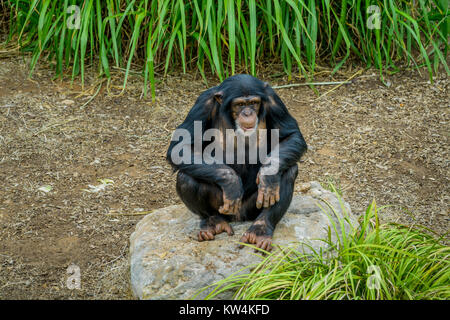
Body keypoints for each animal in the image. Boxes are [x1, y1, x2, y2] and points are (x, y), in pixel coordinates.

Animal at [167, 74, 308, 250]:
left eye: (253, 102)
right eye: (240, 104)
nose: (247, 113)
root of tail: (238, 217)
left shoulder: (274, 100)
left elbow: (291, 135)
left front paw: (268, 177)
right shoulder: (202, 104)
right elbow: (181, 146)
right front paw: (231, 181)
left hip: (252, 208)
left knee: (289, 171)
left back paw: (260, 229)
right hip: (223, 207)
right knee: (185, 177)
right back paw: (212, 223)